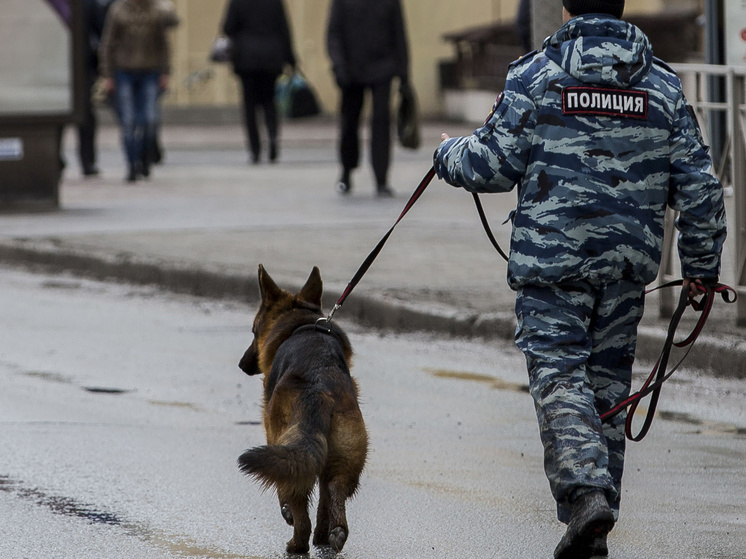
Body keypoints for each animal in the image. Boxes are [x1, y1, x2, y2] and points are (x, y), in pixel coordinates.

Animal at [238, 266, 366, 556]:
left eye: (253, 331)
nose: (241, 364)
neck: (301, 323)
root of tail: (318, 390)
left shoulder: (273, 434)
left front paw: (287, 512)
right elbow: (324, 499)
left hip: (289, 449)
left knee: (299, 507)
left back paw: (297, 543)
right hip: (343, 455)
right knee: (334, 488)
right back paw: (332, 534)